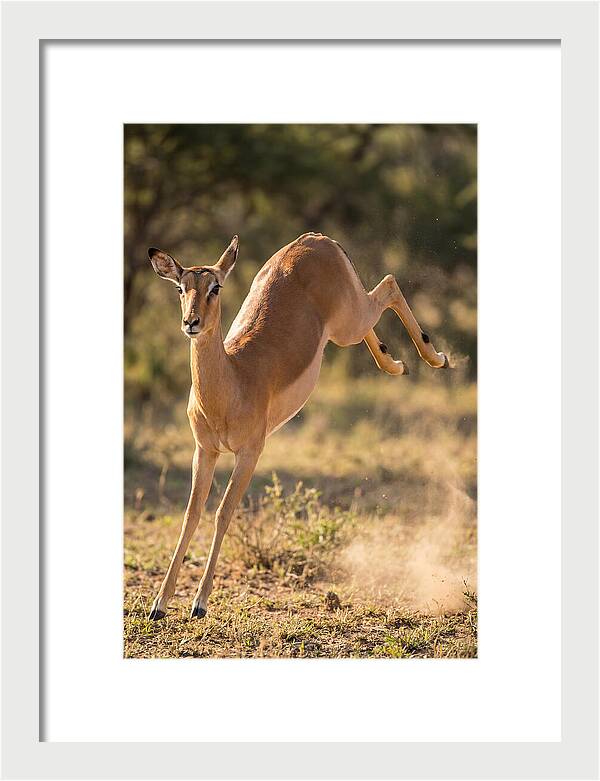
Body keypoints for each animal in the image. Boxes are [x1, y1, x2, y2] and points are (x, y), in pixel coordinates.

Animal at [147, 233, 448, 620]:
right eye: (180, 288)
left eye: (215, 287)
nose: (191, 323)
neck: (233, 381)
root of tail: (316, 239)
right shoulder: (205, 451)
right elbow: (190, 515)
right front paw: (159, 604)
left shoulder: (250, 453)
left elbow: (223, 512)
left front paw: (199, 603)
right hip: (346, 326)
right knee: (379, 306)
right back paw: (396, 364)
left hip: (349, 322)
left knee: (390, 283)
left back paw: (436, 358)